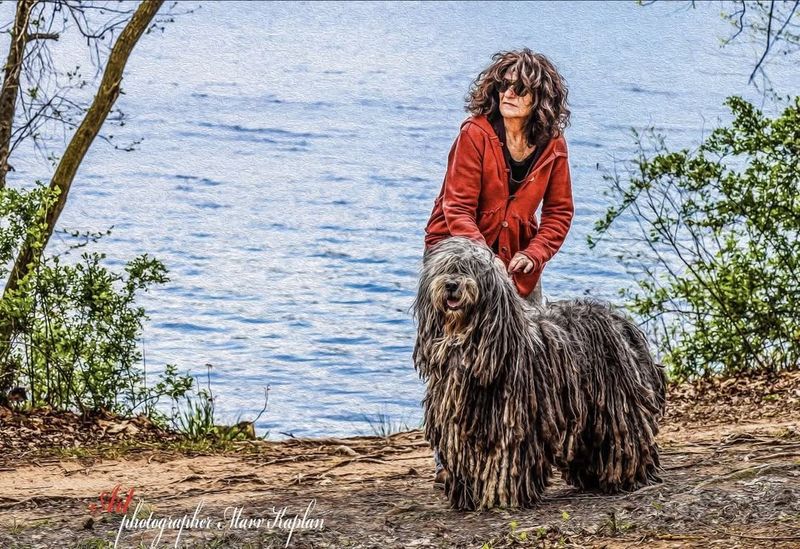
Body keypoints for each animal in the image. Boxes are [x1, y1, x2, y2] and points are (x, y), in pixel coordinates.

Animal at [416, 237, 664, 510]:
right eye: (446, 268)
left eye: (469, 269)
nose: (451, 284)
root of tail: (621, 321)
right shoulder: (459, 423)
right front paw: (467, 495)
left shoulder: (512, 421)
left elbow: (506, 459)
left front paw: (503, 496)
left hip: (616, 403)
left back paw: (630, 476)